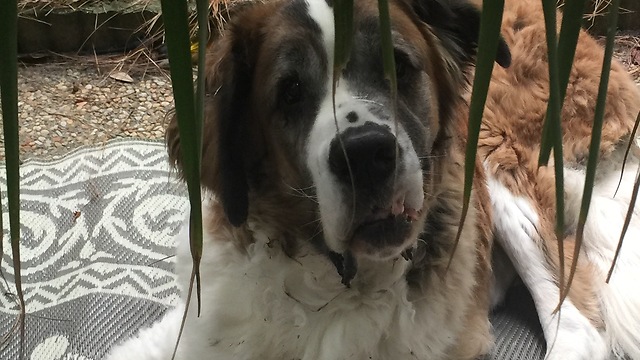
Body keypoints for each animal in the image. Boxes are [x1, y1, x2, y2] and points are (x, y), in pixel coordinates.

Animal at [106, 0, 640, 358]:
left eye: (398, 67)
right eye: (291, 92)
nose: (364, 156)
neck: (332, 287)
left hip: (492, 149)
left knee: (575, 323)